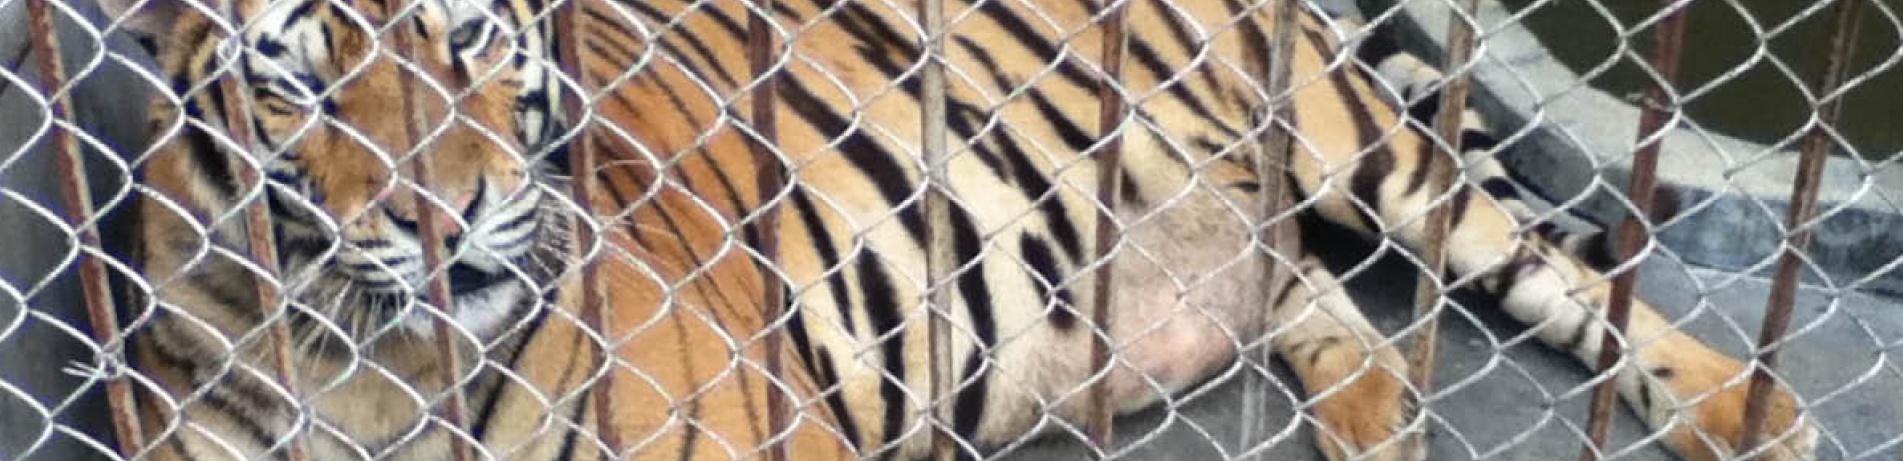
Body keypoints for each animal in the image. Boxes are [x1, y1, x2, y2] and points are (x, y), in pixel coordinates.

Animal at [107, 0, 1826, 455]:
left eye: (464, 41)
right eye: (297, 78)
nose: (439, 212)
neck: (375, 376)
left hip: (1362, 146)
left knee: (1573, 280)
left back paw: (1748, 412)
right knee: (1336, 325)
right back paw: (1365, 424)